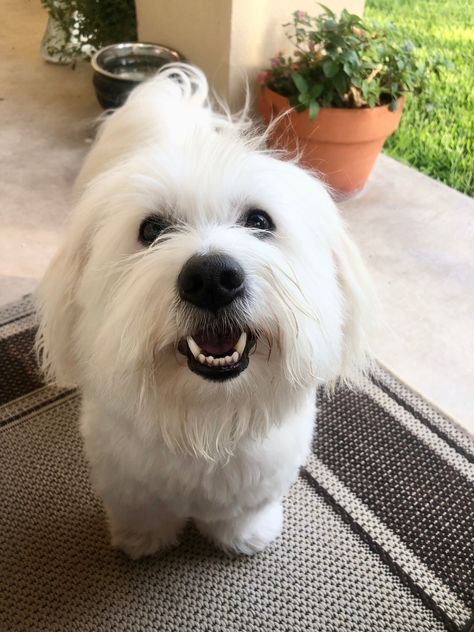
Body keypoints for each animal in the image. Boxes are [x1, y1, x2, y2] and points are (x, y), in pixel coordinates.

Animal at [35, 64, 376, 556]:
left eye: (259, 221)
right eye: (151, 230)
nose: (213, 278)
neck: (205, 416)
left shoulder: (261, 469)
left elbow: (242, 509)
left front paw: (245, 536)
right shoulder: (125, 475)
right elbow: (142, 509)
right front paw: (142, 540)